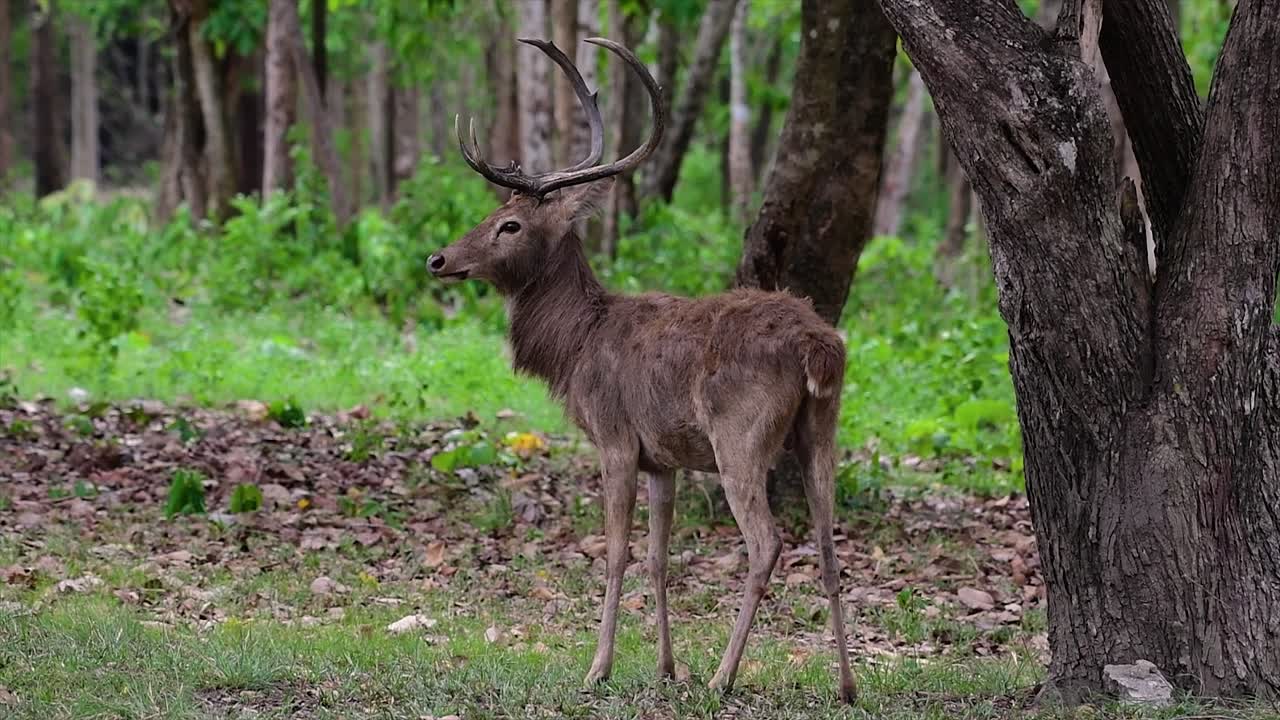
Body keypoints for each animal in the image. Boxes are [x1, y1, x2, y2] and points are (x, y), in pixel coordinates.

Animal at [427, 36, 857, 704]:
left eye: (509, 224)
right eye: (495, 211)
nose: (439, 259)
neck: (575, 346)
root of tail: (820, 346)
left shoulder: (616, 437)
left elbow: (615, 552)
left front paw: (599, 667)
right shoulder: (664, 458)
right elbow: (658, 558)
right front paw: (664, 667)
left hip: (741, 435)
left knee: (767, 543)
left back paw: (723, 677)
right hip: (822, 426)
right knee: (830, 541)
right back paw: (846, 685)